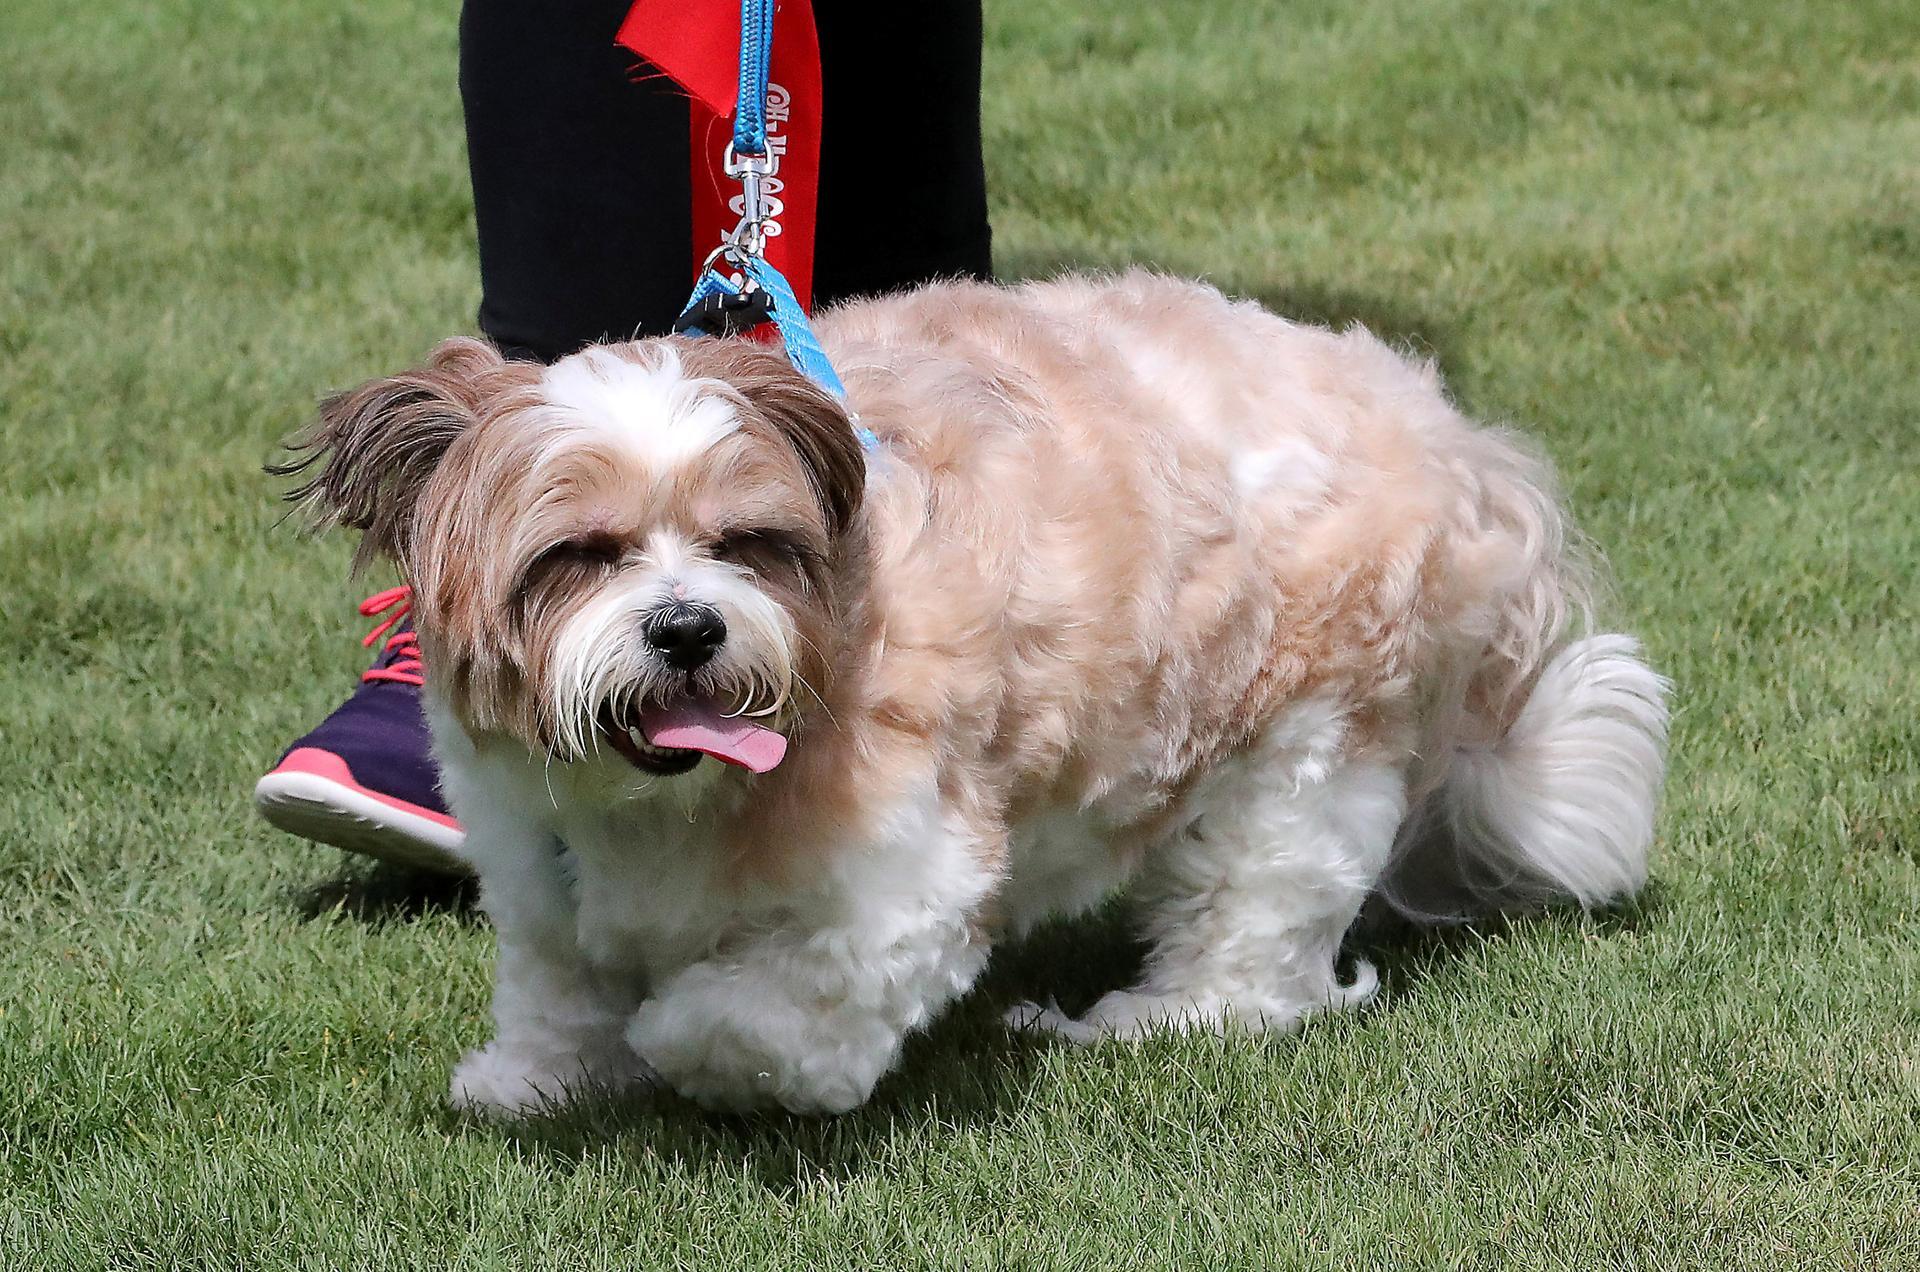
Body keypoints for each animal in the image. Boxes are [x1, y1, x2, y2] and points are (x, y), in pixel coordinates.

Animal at [280, 270, 1666, 1114]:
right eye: (576, 557)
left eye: (745, 544)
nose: (685, 626)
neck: (662, 805)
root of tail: (1460, 443)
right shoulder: (537, 863)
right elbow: (559, 979)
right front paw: (537, 1078)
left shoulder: (900, 885)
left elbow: (752, 1019)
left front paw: (676, 1045)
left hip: (1310, 742)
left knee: (1260, 920)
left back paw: (1154, 1020)